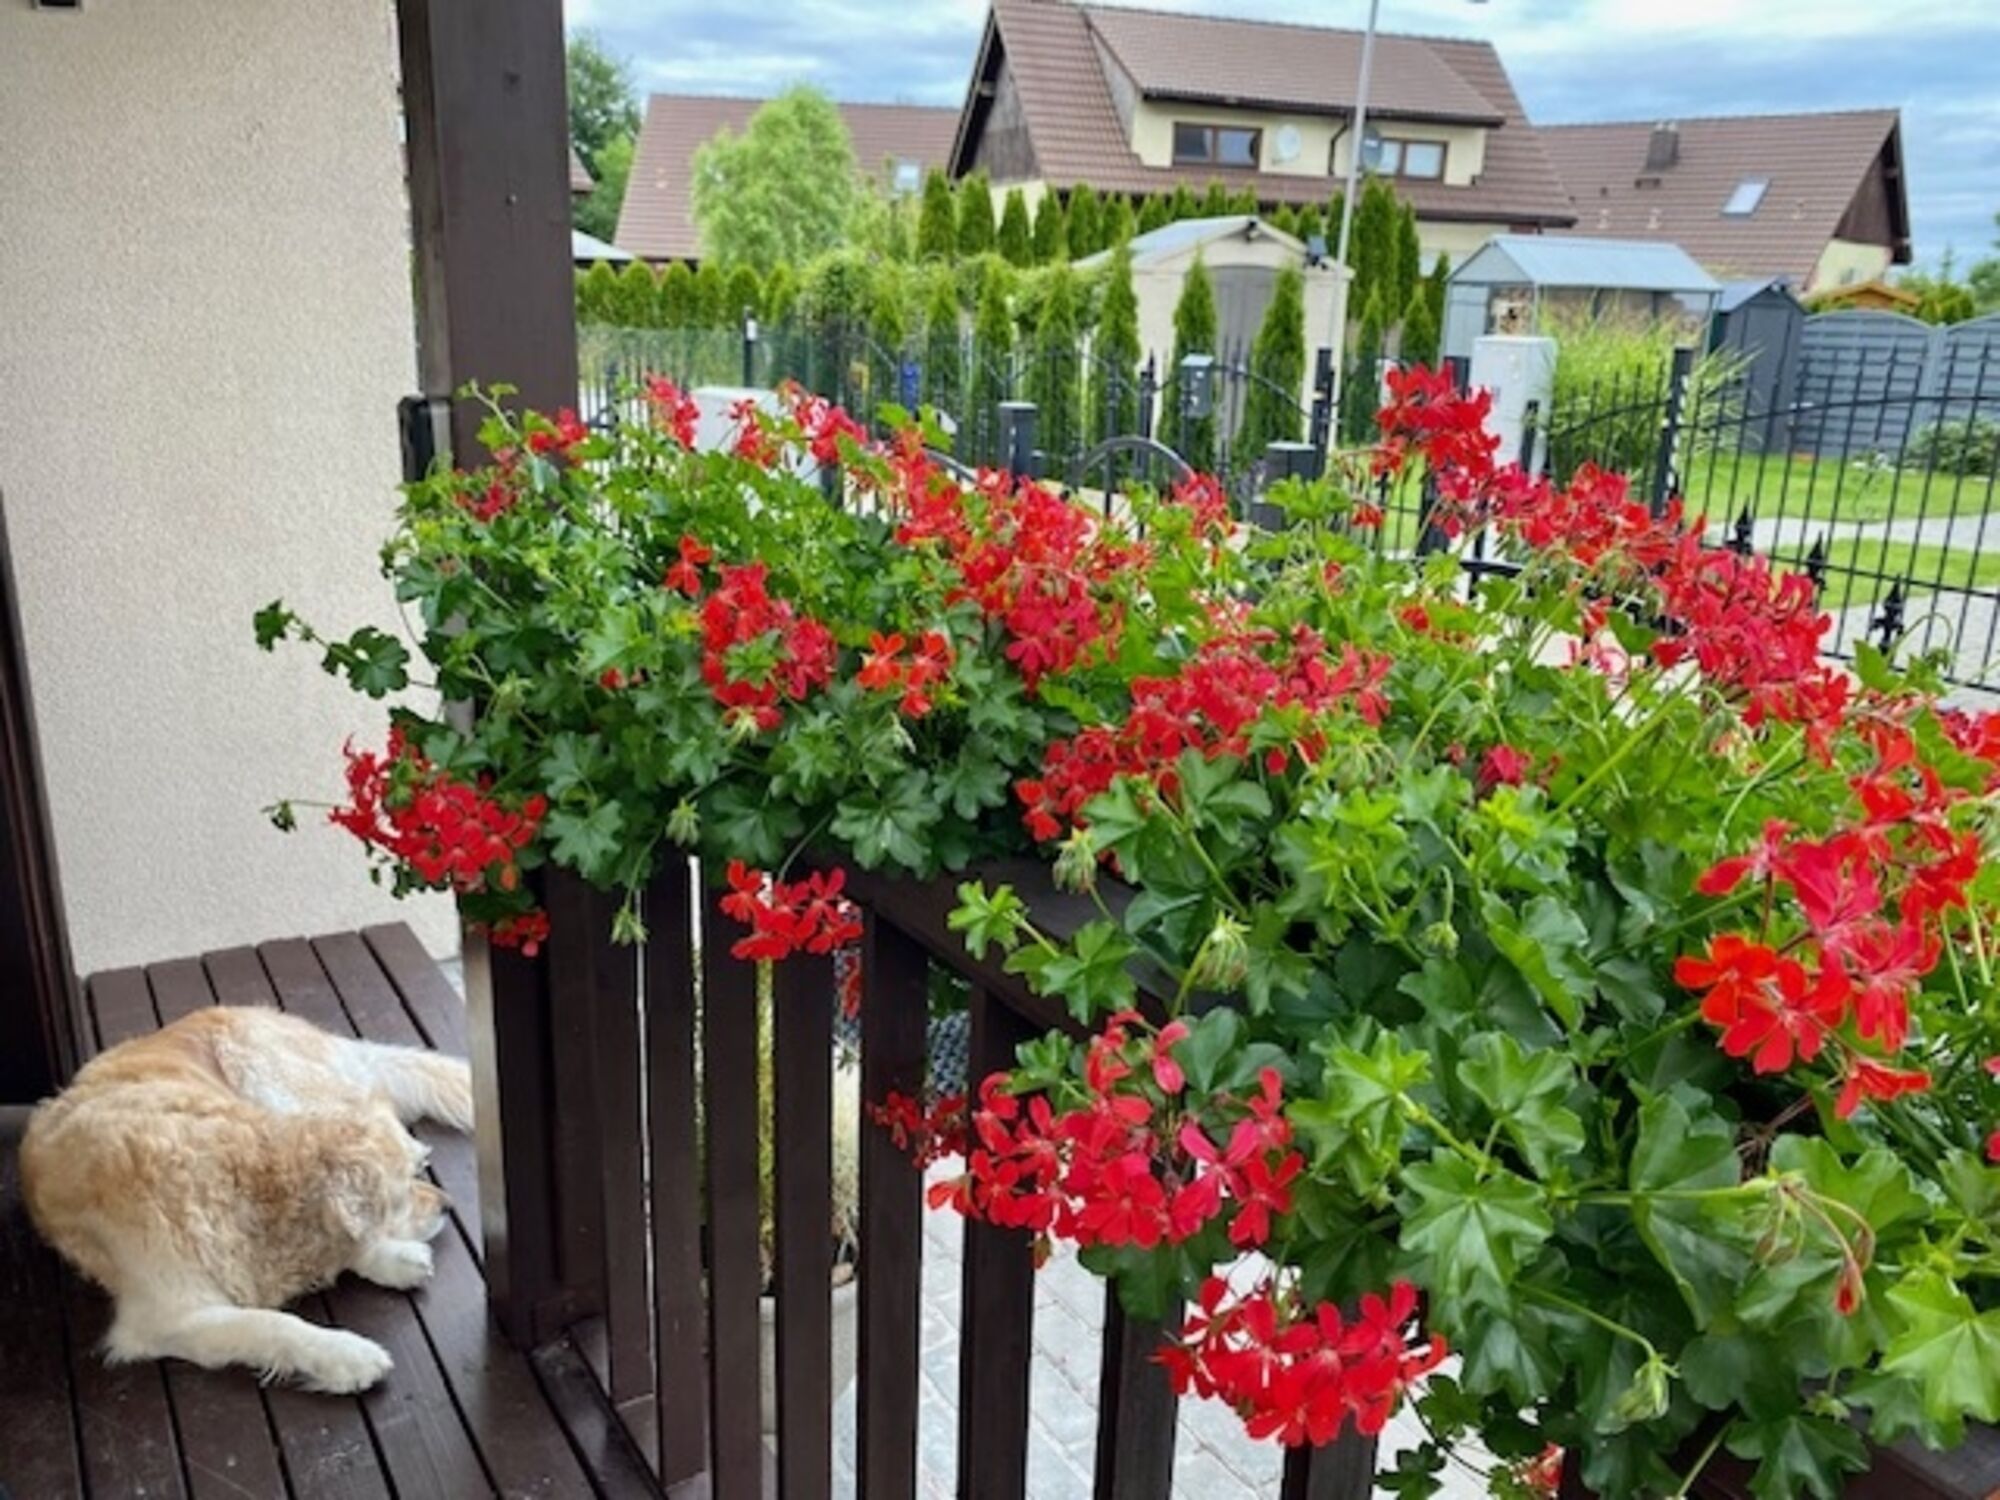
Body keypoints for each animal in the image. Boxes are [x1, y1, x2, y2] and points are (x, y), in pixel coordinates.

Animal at [20, 1004, 473, 1394]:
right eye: (399, 1197)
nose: (449, 1205)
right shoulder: (168, 1317)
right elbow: (275, 1323)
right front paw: (348, 1355)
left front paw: (391, 1259)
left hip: (267, 1077)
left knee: (388, 1119)